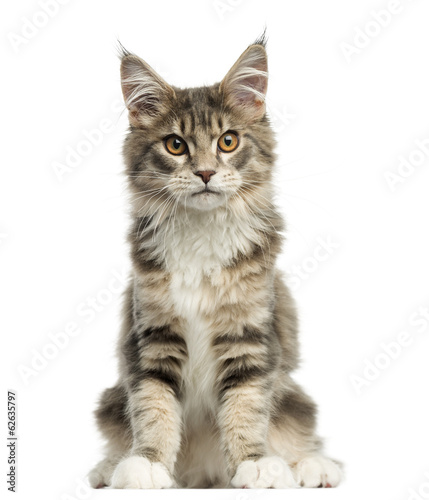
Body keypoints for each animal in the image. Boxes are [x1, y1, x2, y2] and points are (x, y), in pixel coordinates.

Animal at [88, 37, 342, 490]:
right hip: (111, 400)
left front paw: (256, 464)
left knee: (296, 430)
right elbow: (154, 409)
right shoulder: (152, 336)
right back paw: (109, 467)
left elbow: (246, 410)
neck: (201, 236)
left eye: (227, 141)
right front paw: (147, 464)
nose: (206, 173)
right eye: (175, 145)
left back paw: (311, 466)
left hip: (295, 398)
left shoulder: (249, 337)